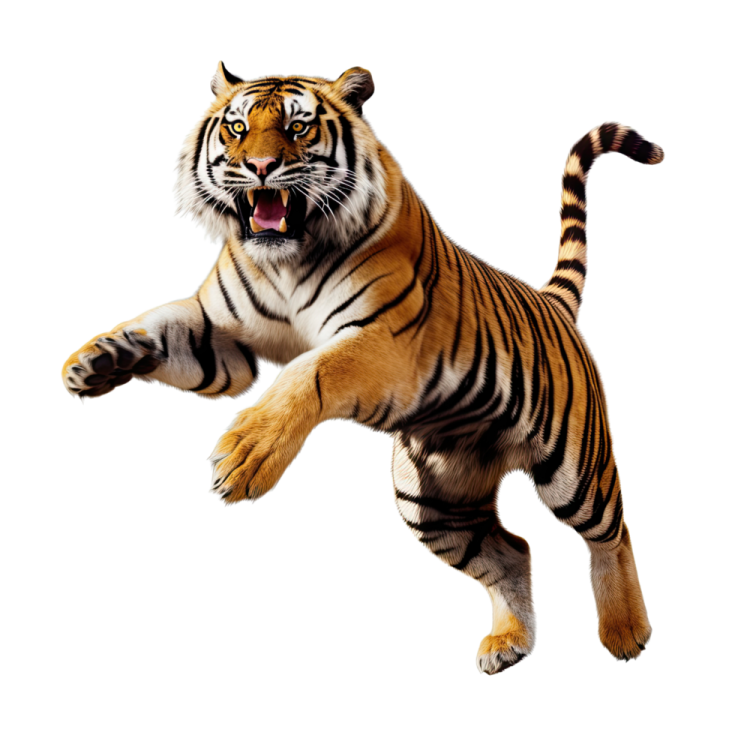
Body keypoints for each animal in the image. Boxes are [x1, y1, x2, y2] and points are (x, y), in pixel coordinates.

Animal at [60, 62, 664, 676]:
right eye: (236, 128)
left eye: (298, 128)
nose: (259, 167)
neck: (285, 258)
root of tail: (551, 299)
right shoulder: (223, 343)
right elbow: (155, 324)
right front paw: (92, 361)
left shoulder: (382, 343)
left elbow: (308, 372)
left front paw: (245, 457)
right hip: (432, 503)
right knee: (513, 550)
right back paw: (508, 643)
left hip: (575, 469)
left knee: (611, 534)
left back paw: (626, 634)